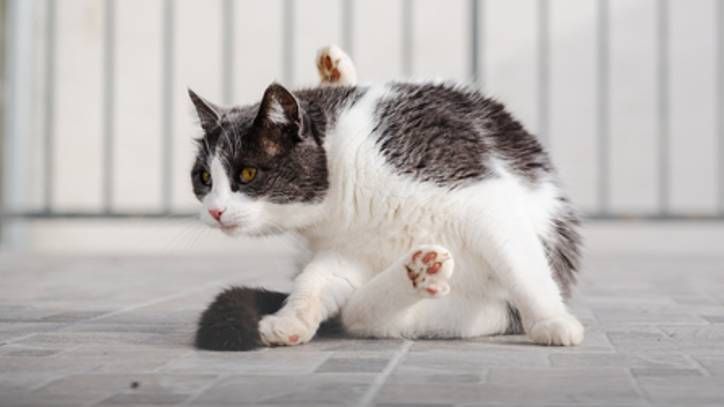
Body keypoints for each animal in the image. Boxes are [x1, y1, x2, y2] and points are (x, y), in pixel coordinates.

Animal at [191, 43, 584, 350]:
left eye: (247, 173)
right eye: (204, 178)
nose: (215, 211)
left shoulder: (479, 197)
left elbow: (523, 268)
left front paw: (553, 322)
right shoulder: (346, 249)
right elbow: (317, 283)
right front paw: (290, 321)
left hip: (484, 309)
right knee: (360, 316)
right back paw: (420, 271)